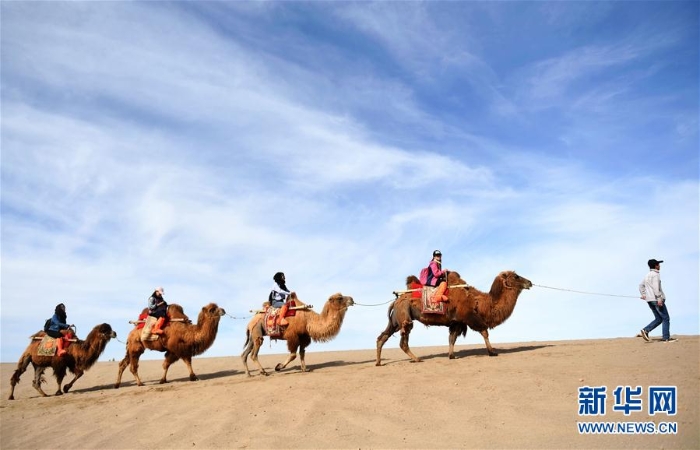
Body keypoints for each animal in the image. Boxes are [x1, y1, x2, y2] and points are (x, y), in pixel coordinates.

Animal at [378, 270, 532, 366]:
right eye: (516, 276)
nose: (530, 282)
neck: (478, 302)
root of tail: (396, 301)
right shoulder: (470, 317)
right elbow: (484, 332)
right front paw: (492, 352)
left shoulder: (457, 322)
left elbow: (452, 338)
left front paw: (451, 355)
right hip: (405, 316)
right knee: (403, 341)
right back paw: (417, 359)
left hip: (395, 320)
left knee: (383, 337)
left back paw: (379, 362)